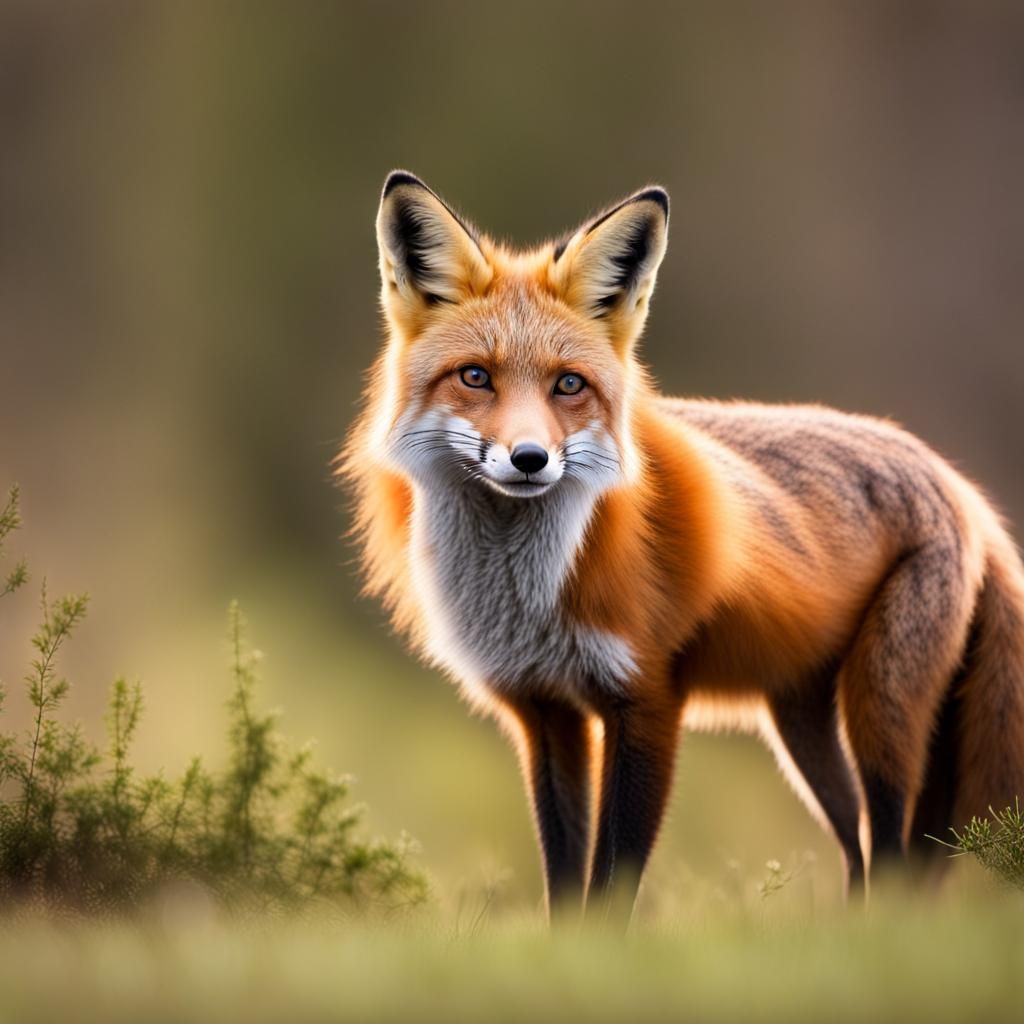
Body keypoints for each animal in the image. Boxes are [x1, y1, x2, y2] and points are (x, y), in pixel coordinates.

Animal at [339, 170, 1024, 923]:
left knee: (895, 851)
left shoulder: (647, 700)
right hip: (802, 725)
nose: (529, 459)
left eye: (568, 384)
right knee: (861, 849)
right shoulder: (545, 712)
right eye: (474, 377)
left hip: (881, 709)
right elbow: (564, 875)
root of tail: (959, 488)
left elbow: (615, 876)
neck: (527, 597)